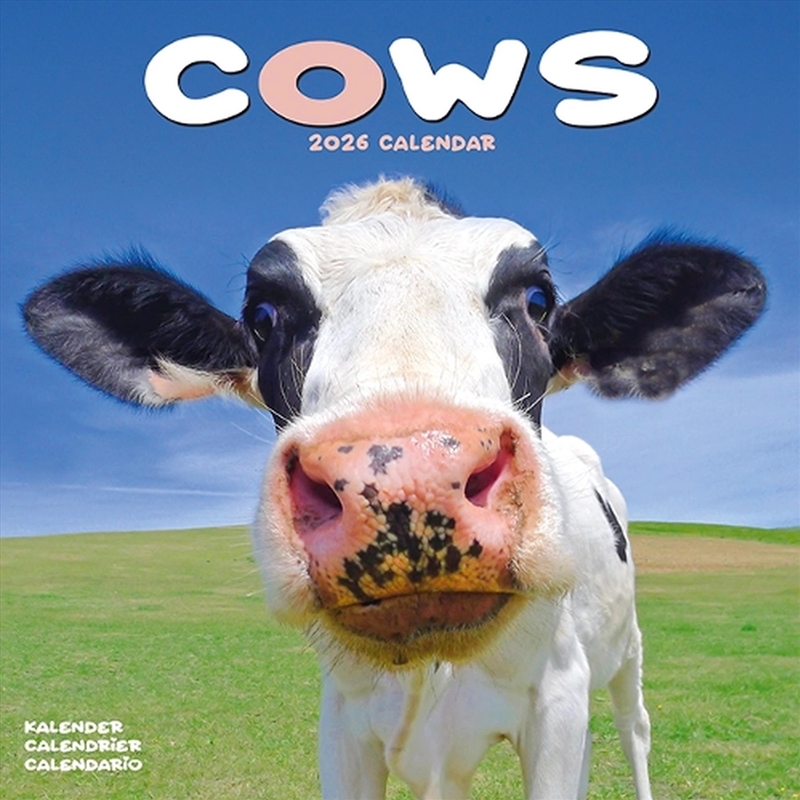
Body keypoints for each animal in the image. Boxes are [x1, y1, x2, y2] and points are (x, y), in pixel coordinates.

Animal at [23, 177, 766, 800]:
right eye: (262, 315)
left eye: (538, 301)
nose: (408, 476)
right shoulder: (343, 723)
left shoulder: (559, 702)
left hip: (627, 650)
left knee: (636, 729)